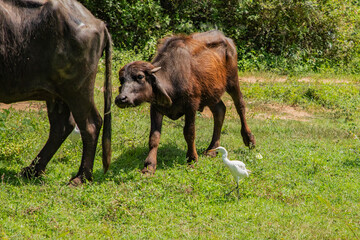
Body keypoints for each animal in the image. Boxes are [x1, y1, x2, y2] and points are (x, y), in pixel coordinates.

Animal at [0, 0, 112, 186]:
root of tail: (98, 23)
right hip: (57, 95)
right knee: (62, 126)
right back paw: (32, 170)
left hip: (77, 89)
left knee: (90, 124)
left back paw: (81, 177)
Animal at [114, 30, 253, 172]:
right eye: (122, 79)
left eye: (140, 76)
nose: (121, 98)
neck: (172, 79)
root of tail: (227, 40)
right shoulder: (156, 108)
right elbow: (154, 137)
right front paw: (149, 166)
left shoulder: (191, 106)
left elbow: (189, 132)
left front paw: (192, 158)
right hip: (212, 93)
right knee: (220, 111)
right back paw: (212, 149)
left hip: (232, 80)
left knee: (240, 105)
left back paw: (249, 140)